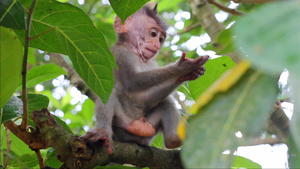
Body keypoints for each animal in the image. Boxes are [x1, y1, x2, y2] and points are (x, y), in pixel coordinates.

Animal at [82, 3, 209, 154]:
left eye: (161, 39)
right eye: (153, 34)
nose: (157, 45)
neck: (136, 54)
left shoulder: (151, 64)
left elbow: (148, 100)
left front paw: (186, 75)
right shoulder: (120, 54)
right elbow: (132, 82)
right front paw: (182, 67)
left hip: (149, 130)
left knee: (165, 102)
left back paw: (174, 139)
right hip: (121, 127)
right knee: (109, 94)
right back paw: (103, 132)